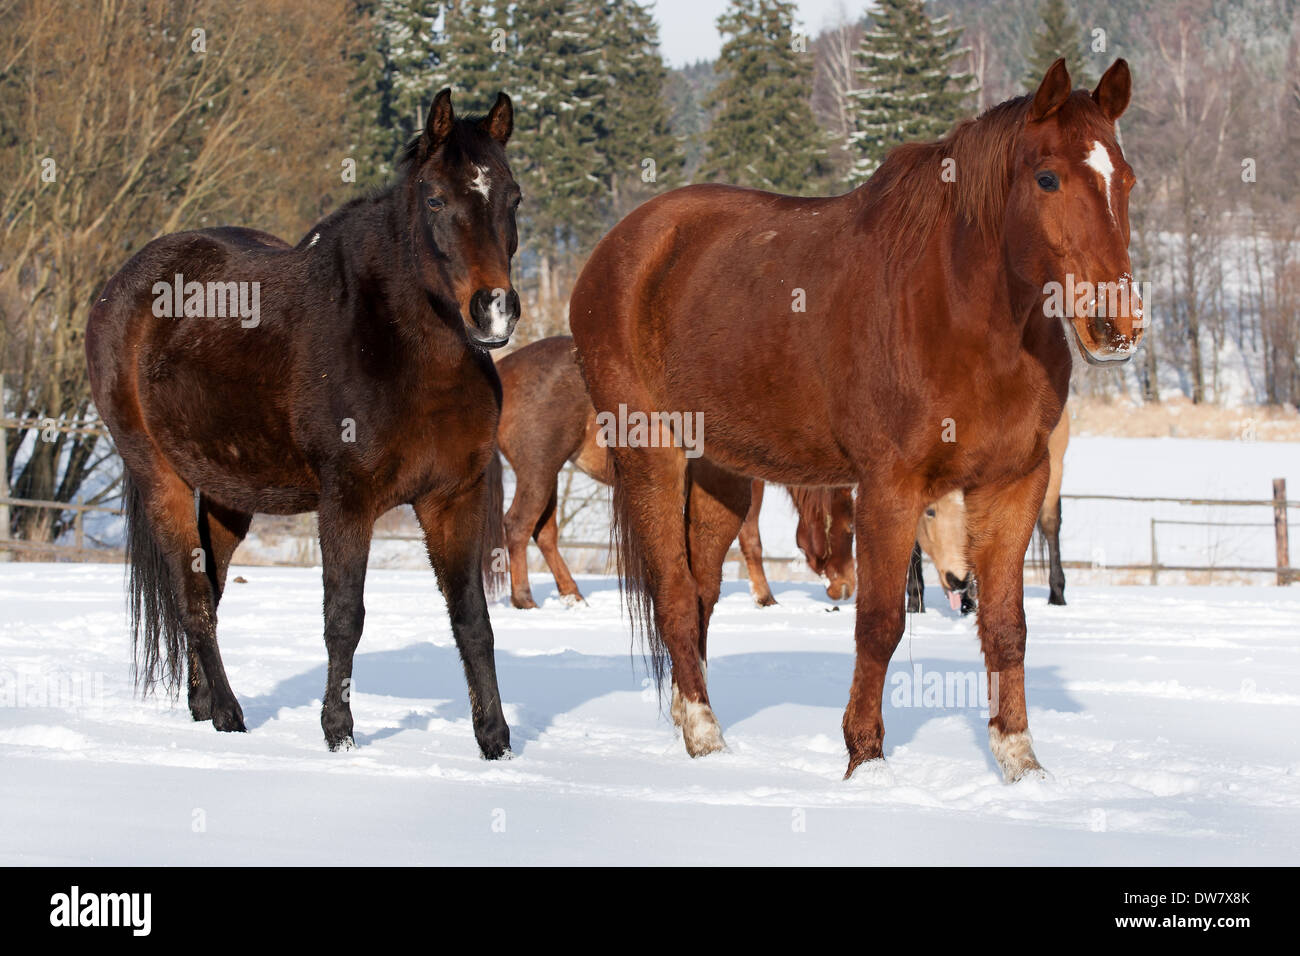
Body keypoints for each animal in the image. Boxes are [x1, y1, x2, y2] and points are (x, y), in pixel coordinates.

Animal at [83, 91, 522, 764]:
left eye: (513, 196)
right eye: (435, 199)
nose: (493, 309)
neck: (403, 351)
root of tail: (119, 289)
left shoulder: (453, 498)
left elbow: (472, 619)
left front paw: (494, 741)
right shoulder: (346, 502)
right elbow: (344, 616)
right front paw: (338, 732)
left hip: (228, 496)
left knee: (208, 588)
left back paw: (203, 704)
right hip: (162, 480)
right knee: (192, 599)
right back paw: (229, 715)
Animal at [493, 335, 852, 606]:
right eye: (850, 530)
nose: (847, 587)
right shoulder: (748, 484)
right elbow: (751, 540)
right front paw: (764, 597)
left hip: (549, 474)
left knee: (545, 534)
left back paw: (572, 595)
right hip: (539, 471)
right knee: (518, 526)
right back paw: (524, 597)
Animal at [574, 59, 1144, 780]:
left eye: (1126, 178)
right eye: (1048, 178)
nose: (1116, 326)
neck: (966, 318)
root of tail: (617, 251)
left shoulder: (1014, 485)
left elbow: (1005, 625)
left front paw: (1021, 762)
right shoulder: (889, 489)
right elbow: (879, 622)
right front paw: (865, 759)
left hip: (721, 476)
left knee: (699, 593)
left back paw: (693, 716)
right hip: (653, 455)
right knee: (674, 595)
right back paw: (704, 736)